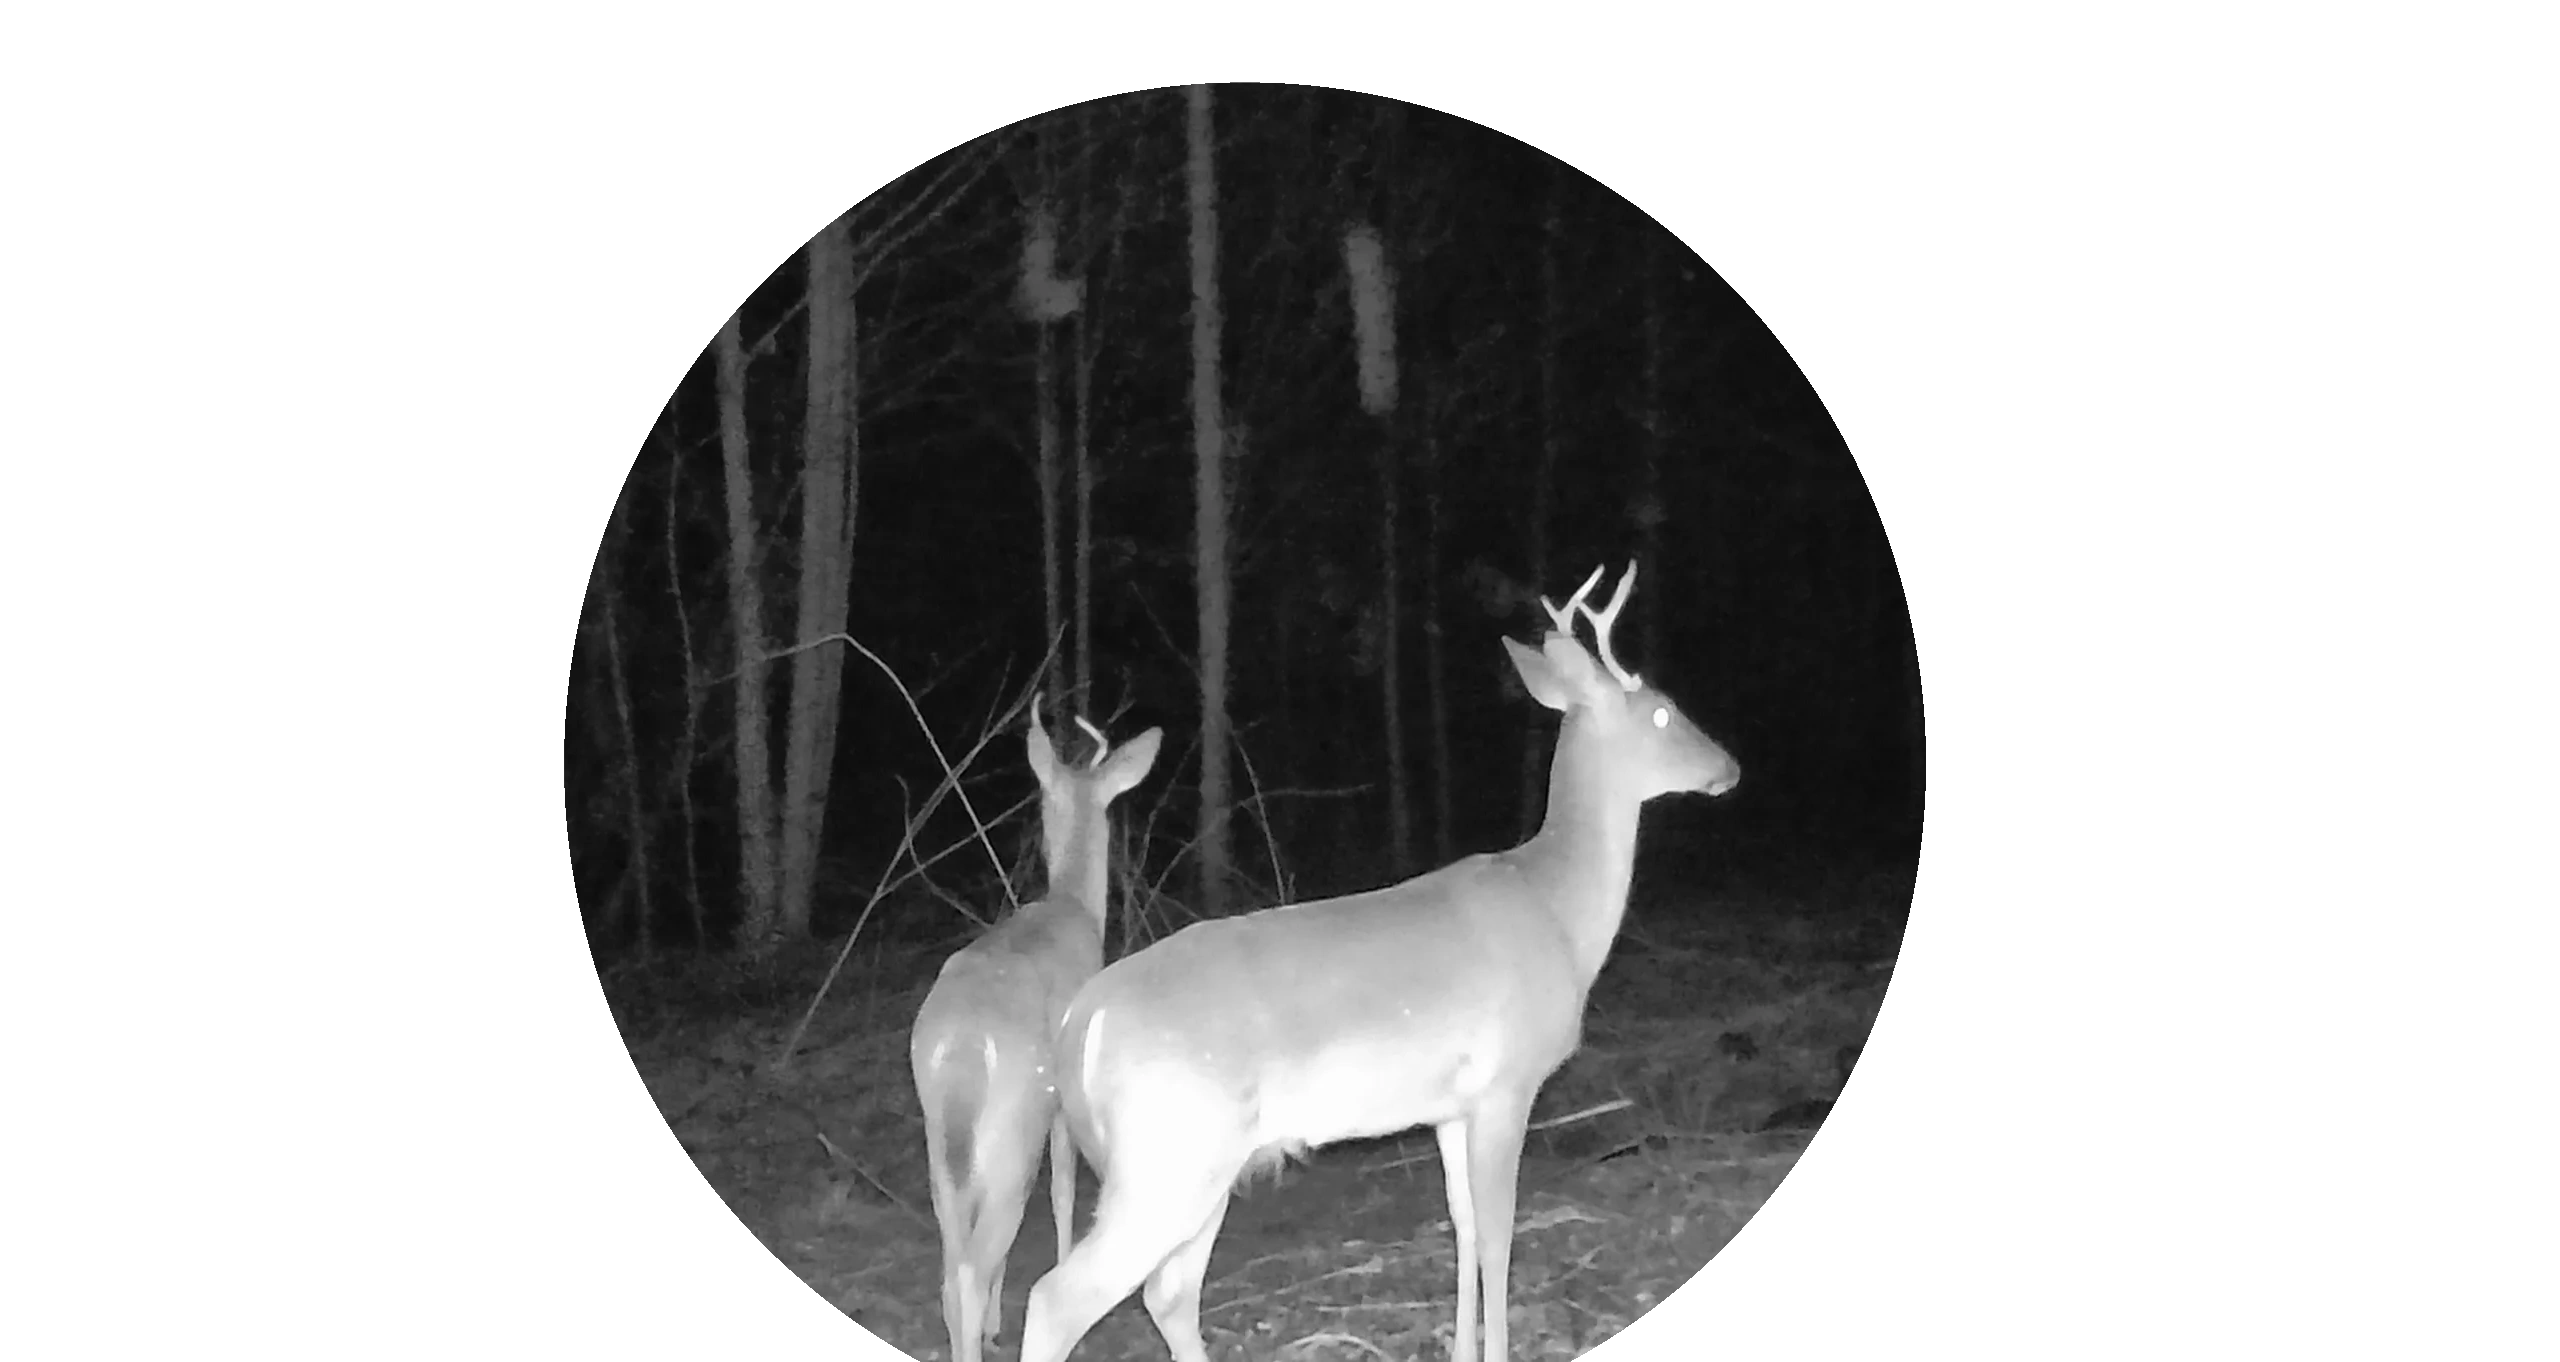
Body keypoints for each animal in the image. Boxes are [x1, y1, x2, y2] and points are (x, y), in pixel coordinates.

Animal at [909, 703, 1163, 1362]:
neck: (1073, 906)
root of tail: (962, 1047)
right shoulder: (1065, 1094)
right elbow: (1066, 1188)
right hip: (1013, 1126)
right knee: (975, 1261)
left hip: (939, 1140)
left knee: (952, 1265)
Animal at [1017, 563, 1738, 1362]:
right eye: (1664, 714)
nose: (1729, 768)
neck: (1558, 907)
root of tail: (1083, 1017)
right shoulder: (1508, 1082)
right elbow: (1498, 1233)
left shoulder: (1449, 1107)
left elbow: (1461, 1223)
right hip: (1171, 1152)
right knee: (1058, 1298)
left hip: (1194, 1163)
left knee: (1166, 1293)